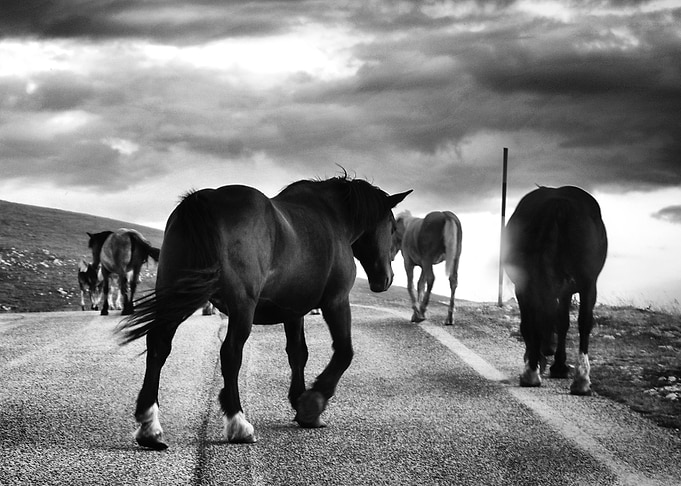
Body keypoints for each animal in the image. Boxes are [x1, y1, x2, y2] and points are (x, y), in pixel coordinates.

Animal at [118, 175, 411, 450]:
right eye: (392, 227)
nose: (386, 279)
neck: (332, 217)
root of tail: (203, 200)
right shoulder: (336, 301)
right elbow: (344, 352)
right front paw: (313, 402)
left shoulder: (294, 311)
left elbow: (298, 353)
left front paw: (299, 401)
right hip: (241, 306)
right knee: (230, 353)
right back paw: (238, 423)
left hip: (177, 295)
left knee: (159, 346)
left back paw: (150, 428)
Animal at [503, 186, 607, 395]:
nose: (548, 350)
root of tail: (558, 203)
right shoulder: (565, 291)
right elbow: (562, 322)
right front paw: (557, 365)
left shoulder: (527, 287)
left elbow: (538, 323)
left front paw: (539, 363)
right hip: (588, 283)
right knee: (584, 322)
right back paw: (581, 380)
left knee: (537, 319)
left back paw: (533, 372)